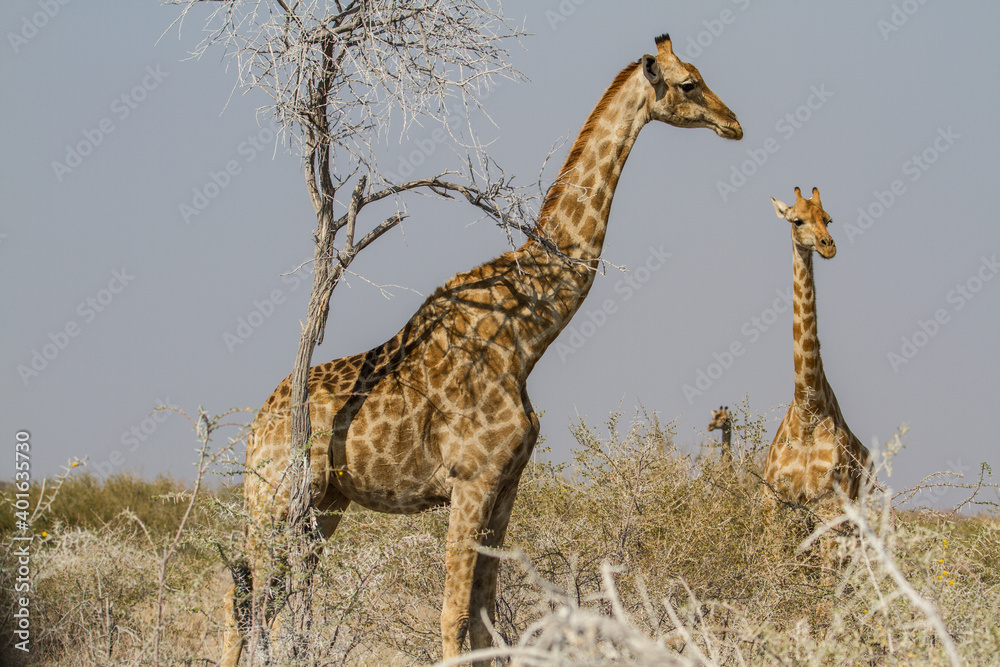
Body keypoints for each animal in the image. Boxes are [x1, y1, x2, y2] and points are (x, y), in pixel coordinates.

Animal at [221, 33, 742, 666]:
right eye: (689, 84)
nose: (734, 123)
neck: (529, 338)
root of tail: (257, 424)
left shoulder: (505, 486)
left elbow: (488, 623)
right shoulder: (470, 481)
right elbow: (452, 618)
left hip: (323, 507)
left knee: (269, 603)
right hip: (271, 503)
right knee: (246, 602)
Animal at [762, 187, 870, 509]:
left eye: (828, 219)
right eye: (797, 220)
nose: (828, 246)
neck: (808, 408)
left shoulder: (829, 502)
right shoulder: (772, 498)